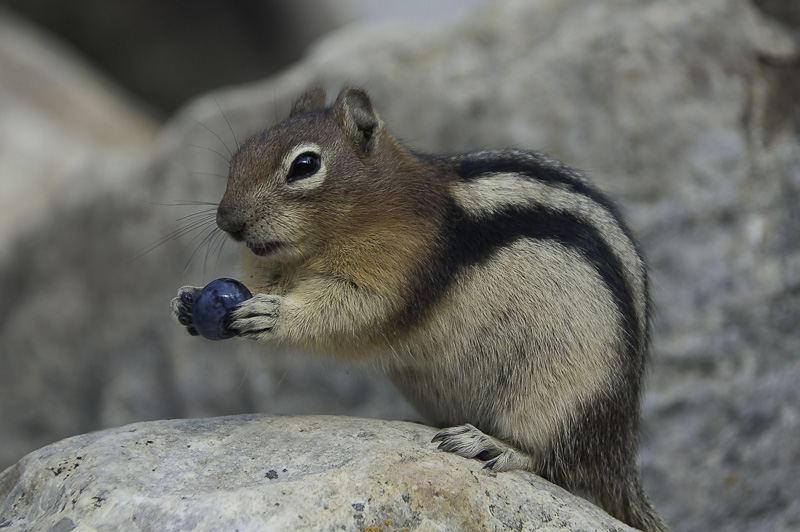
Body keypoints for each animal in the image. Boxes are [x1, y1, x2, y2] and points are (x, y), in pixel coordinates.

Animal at [173, 88, 668, 532]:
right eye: (241, 153)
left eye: (305, 165)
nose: (227, 221)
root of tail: (620, 450)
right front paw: (187, 299)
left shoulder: (396, 267)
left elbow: (352, 311)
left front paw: (272, 315)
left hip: (560, 397)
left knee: (552, 456)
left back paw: (489, 443)